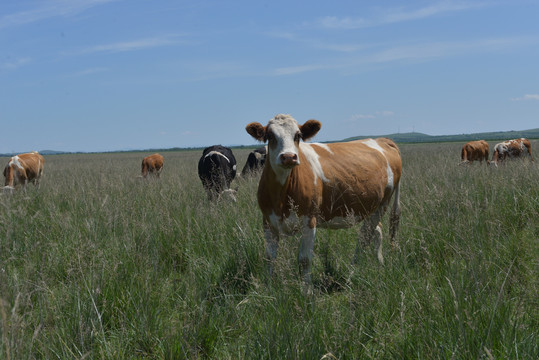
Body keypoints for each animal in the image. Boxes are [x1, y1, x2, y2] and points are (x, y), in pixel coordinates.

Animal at [247, 113, 402, 284]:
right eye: (270, 136)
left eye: (298, 135)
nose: (288, 157)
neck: (280, 196)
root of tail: (382, 140)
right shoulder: (268, 221)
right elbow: (269, 258)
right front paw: (268, 287)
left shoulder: (309, 220)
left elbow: (304, 260)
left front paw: (306, 290)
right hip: (369, 208)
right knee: (376, 231)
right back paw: (380, 263)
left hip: (383, 203)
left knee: (363, 239)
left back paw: (351, 274)